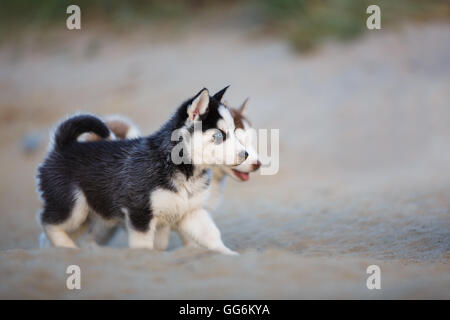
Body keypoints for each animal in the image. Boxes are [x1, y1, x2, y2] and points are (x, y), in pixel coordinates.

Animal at [37, 87, 248, 255]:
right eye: (219, 136)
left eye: (234, 132)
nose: (245, 154)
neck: (181, 167)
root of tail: (63, 146)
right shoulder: (139, 213)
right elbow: (143, 247)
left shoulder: (191, 212)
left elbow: (211, 235)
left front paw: (229, 254)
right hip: (74, 206)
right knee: (48, 222)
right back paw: (65, 246)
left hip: (87, 215)